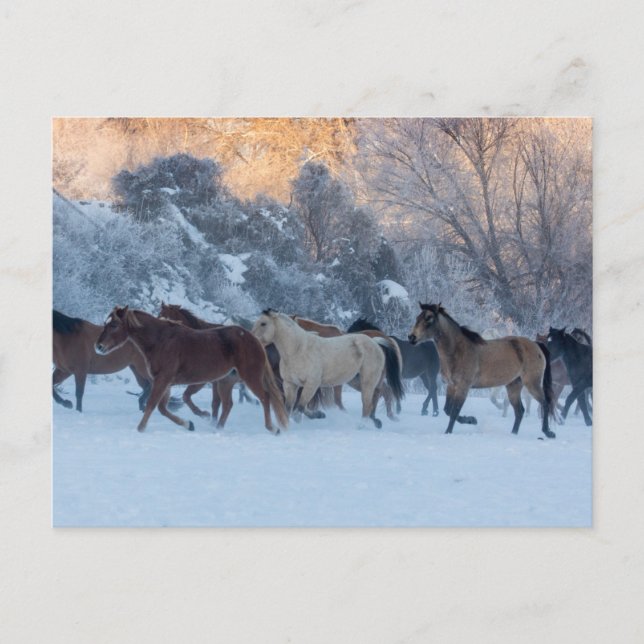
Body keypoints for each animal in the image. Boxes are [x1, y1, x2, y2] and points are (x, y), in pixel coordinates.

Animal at [95, 306, 288, 433]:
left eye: (114, 325)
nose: (98, 346)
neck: (161, 340)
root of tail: (254, 339)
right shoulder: (165, 382)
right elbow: (163, 408)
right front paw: (189, 424)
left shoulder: (163, 379)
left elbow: (152, 404)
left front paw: (140, 428)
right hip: (225, 381)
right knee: (228, 404)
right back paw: (217, 429)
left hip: (250, 377)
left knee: (265, 398)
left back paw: (272, 428)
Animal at [252, 310, 404, 428]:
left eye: (263, 323)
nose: (253, 338)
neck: (298, 350)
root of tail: (376, 342)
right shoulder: (290, 384)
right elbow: (289, 407)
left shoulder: (312, 384)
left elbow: (300, 407)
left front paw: (315, 415)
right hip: (359, 381)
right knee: (378, 396)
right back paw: (378, 420)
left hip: (368, 382)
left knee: (368, 404)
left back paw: (363, 425)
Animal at [409, 303, 556, 438]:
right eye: (417, 318)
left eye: (429, 318)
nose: (411, 337)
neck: (458, 350)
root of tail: (536, 345)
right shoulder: (451, 386)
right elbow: (447, 410)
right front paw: (471, 420)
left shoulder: (463, 387)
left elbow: (454, 411)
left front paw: (449, 432)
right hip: (513, 386)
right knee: (519, 411)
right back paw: (513, 434)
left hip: (532, 383)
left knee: (544, 403)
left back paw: (548, 432)